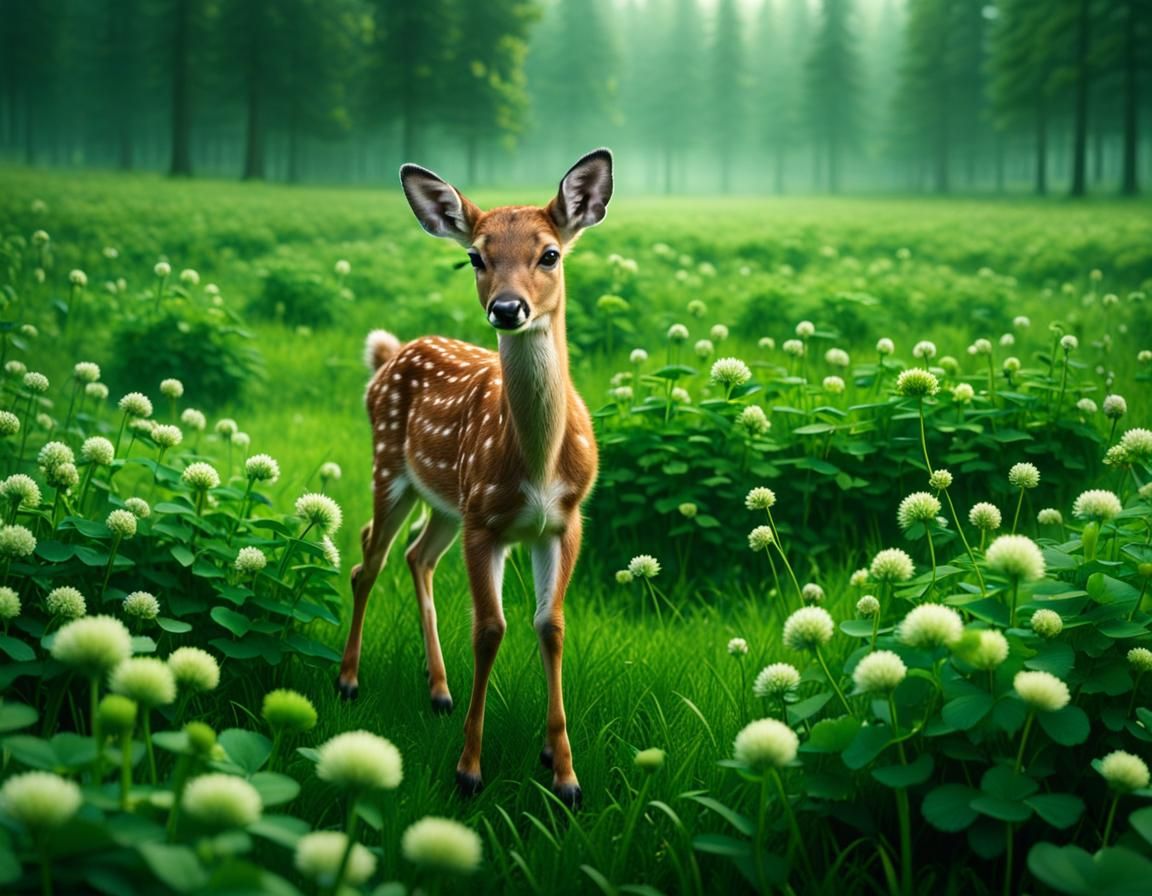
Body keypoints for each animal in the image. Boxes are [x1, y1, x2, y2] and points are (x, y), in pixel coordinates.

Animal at [336, 149, 613, 808]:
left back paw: (438, 691)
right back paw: (349, 680)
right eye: (476, 257)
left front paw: (563, 772)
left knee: (416, 555)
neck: (537, 466)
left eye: (550, 253)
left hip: (444, 503)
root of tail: (387, 356)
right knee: (368, 559)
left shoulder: (564, 521)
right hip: (390, 467)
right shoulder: (486, 523)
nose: (507, 308)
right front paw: (468, 771)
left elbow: (550, 626)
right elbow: (490, 630)